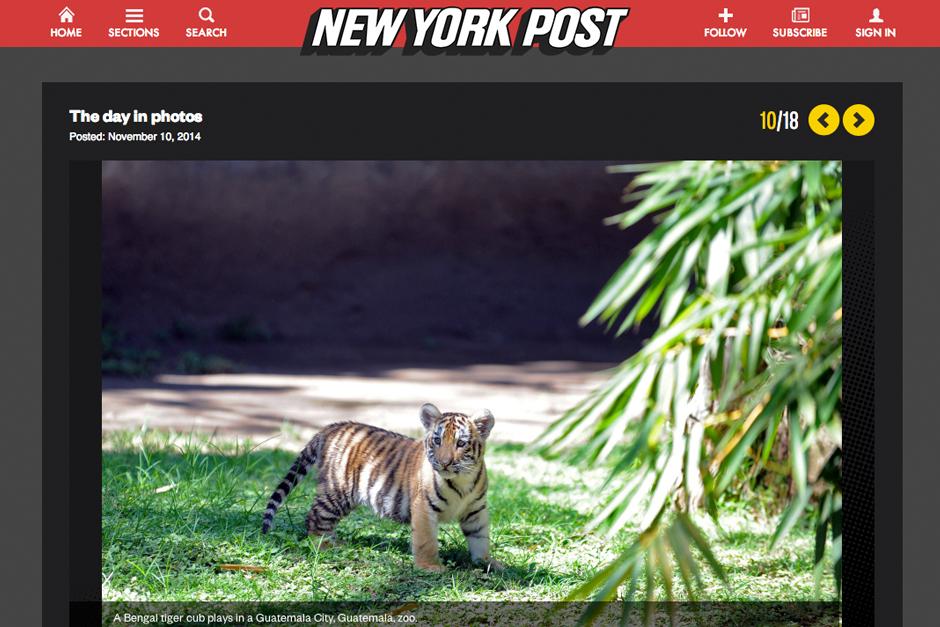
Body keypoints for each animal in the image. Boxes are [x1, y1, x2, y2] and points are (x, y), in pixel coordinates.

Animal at [260, 403, 503, 573]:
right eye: (437, 440)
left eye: (461, 443)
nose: (444, 463)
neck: (463, 480)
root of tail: (331, 427)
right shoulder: (424, 507)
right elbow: (426, 541)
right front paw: (430, 567)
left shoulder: (476, 510)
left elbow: (480, 537)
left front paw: (487, 562)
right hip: (338, 491)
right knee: (315, 517)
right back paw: (324, 547)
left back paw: (336, 543)